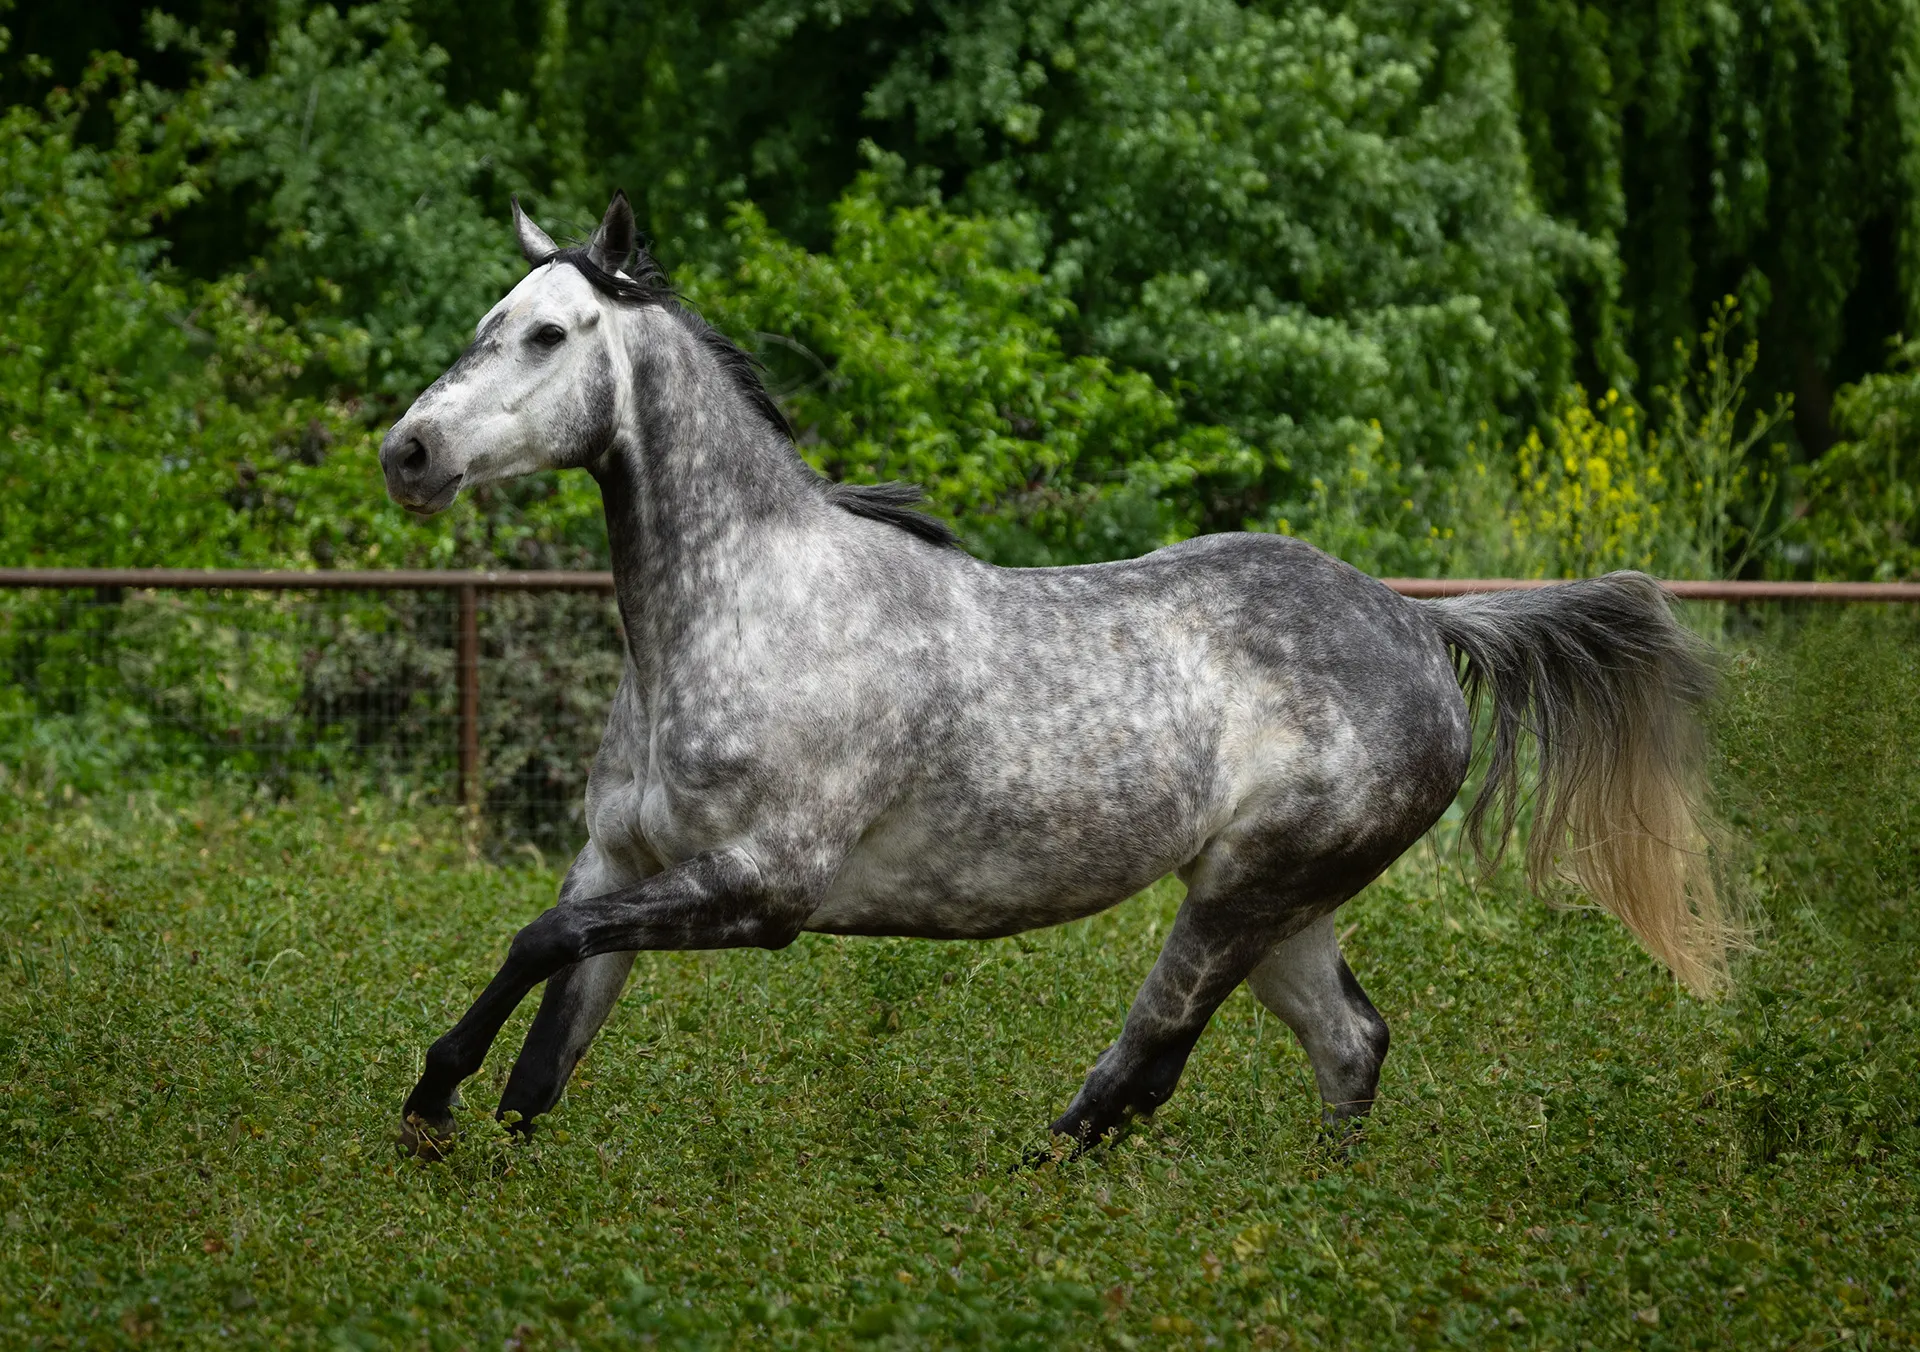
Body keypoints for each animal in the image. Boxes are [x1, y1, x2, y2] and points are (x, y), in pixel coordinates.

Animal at [381, 191, 1733, 1158]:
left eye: (549, 332)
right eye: (485, 320)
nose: (410, 451)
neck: (741, 613)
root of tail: (1413, 621)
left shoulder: (763, 888)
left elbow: (534, 939)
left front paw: (429, 1103)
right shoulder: (624, 861)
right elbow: (545, 1044)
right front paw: (456, 1126)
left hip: (1241, 895)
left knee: (1144, 1061)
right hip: (1283, 907)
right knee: (1349, 1044)